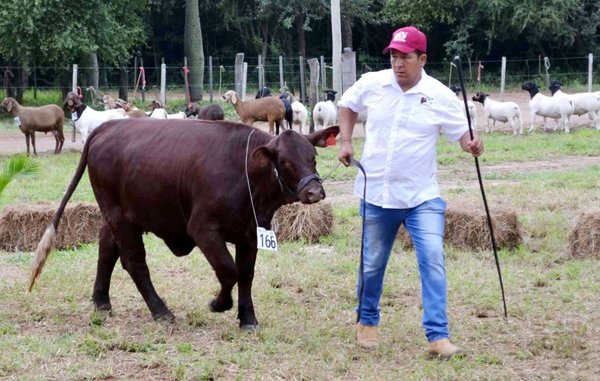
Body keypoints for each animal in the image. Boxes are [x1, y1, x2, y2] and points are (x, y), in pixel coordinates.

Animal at [30, 119, 340, 330]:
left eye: (312, 156)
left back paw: (102, 301)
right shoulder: (203, 229)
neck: (245, 172)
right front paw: (219, 304)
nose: (314, 192)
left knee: (106, 250)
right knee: (134, 262)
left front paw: (247, 318)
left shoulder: (251, 233)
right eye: (285, 162)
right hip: (120, 218)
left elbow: (245, 274)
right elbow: (228, 270)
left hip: (118, 216)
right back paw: (161, 311)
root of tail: (109, 125)